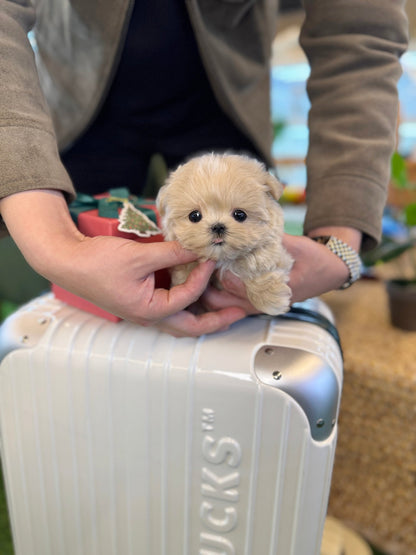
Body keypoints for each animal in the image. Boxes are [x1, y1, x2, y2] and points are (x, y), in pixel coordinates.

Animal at [155, 152, 292, 318]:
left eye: (240, 215)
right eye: (194, 216)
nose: (217, 226)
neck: (224, 258)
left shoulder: (272, 251)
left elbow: (258, 263)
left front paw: (270, 301)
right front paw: (182, 281)